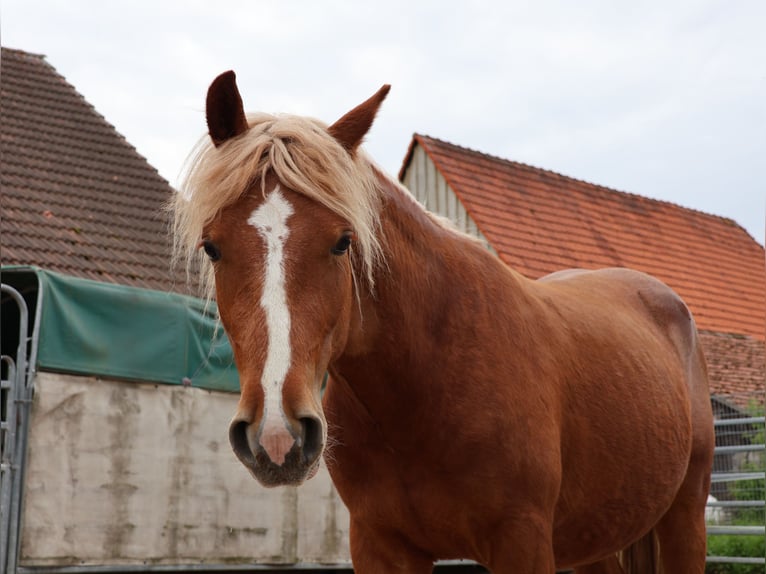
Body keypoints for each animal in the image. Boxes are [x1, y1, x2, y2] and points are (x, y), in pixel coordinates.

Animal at [172, 71, 715, 573]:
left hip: (684, 517)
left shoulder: (522, 542)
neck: (428, 383)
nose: (277, 436)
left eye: (343, 241)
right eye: (212, 247)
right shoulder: (379, 546)